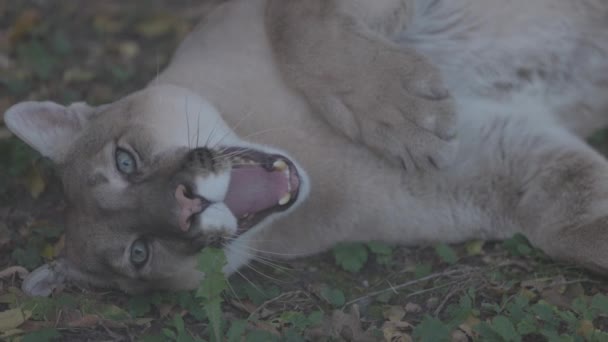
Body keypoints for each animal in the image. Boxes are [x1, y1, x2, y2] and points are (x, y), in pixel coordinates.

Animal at [3, 0, 608, 296]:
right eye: (139, 253)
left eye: (124, 161)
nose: (185, 204)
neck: (306, 149)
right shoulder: (505, 162)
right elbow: (566, 227)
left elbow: (292, 17)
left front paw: (398, 108)